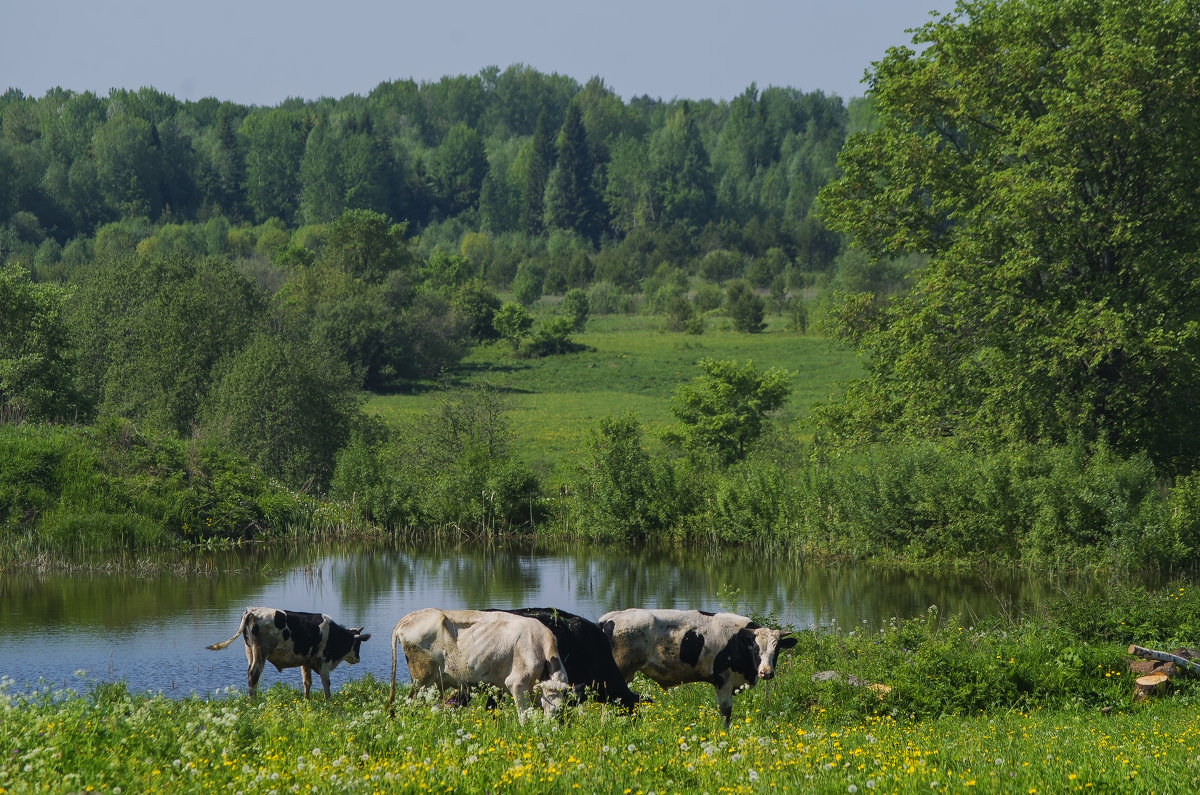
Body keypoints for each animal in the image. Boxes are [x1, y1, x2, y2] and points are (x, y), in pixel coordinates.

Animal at [207, 607, 369, 701]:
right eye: (358, 644)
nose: (358, 659)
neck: (334, 635)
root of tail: (252, 611)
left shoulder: (306, 661)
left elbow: (307, 682)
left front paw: (306, 700)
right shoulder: (324, 662)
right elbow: (326, 683)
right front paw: (328, 701)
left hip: (250, 651)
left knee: (249, 674)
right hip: (261, 652)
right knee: (254, 674)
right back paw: (253, 702)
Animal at [386, 607, 568, 725]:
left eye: (562, 708)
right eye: (550, 704)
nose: (551, 727)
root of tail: (411, 616)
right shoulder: (517, 684)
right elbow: (523, 716)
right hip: (422, 678)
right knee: (409, 703)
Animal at [597, 610, 796, 730]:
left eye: (777, 650)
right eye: (755, 649)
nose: (766, 673)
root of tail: (610, 617)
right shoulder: (723, 678)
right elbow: (725, 711)